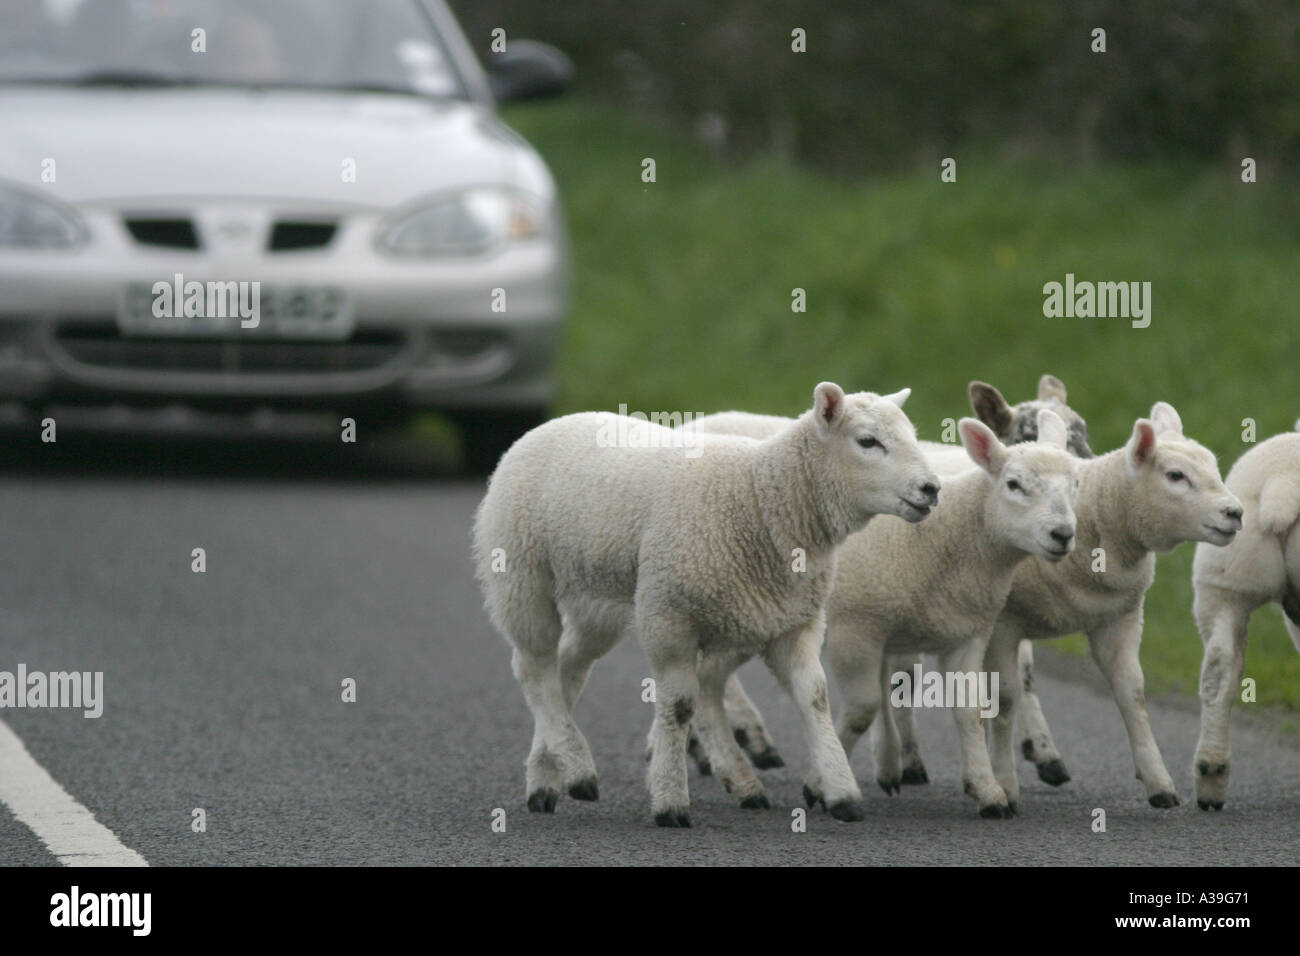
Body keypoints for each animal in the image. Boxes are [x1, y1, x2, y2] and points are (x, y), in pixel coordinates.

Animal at [473, 385, 941, 827]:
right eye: (867, 441)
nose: (932, 489)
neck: (760, 497)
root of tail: (552, 424)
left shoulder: (795, 620)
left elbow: (815, 697)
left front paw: (841, 793)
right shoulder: (667, 614)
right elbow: (680, 704)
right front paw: (669, 802)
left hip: (598, 601)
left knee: (566, 667)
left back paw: (549, 777)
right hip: (521, 575)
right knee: (534, 668)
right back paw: (577, 769)